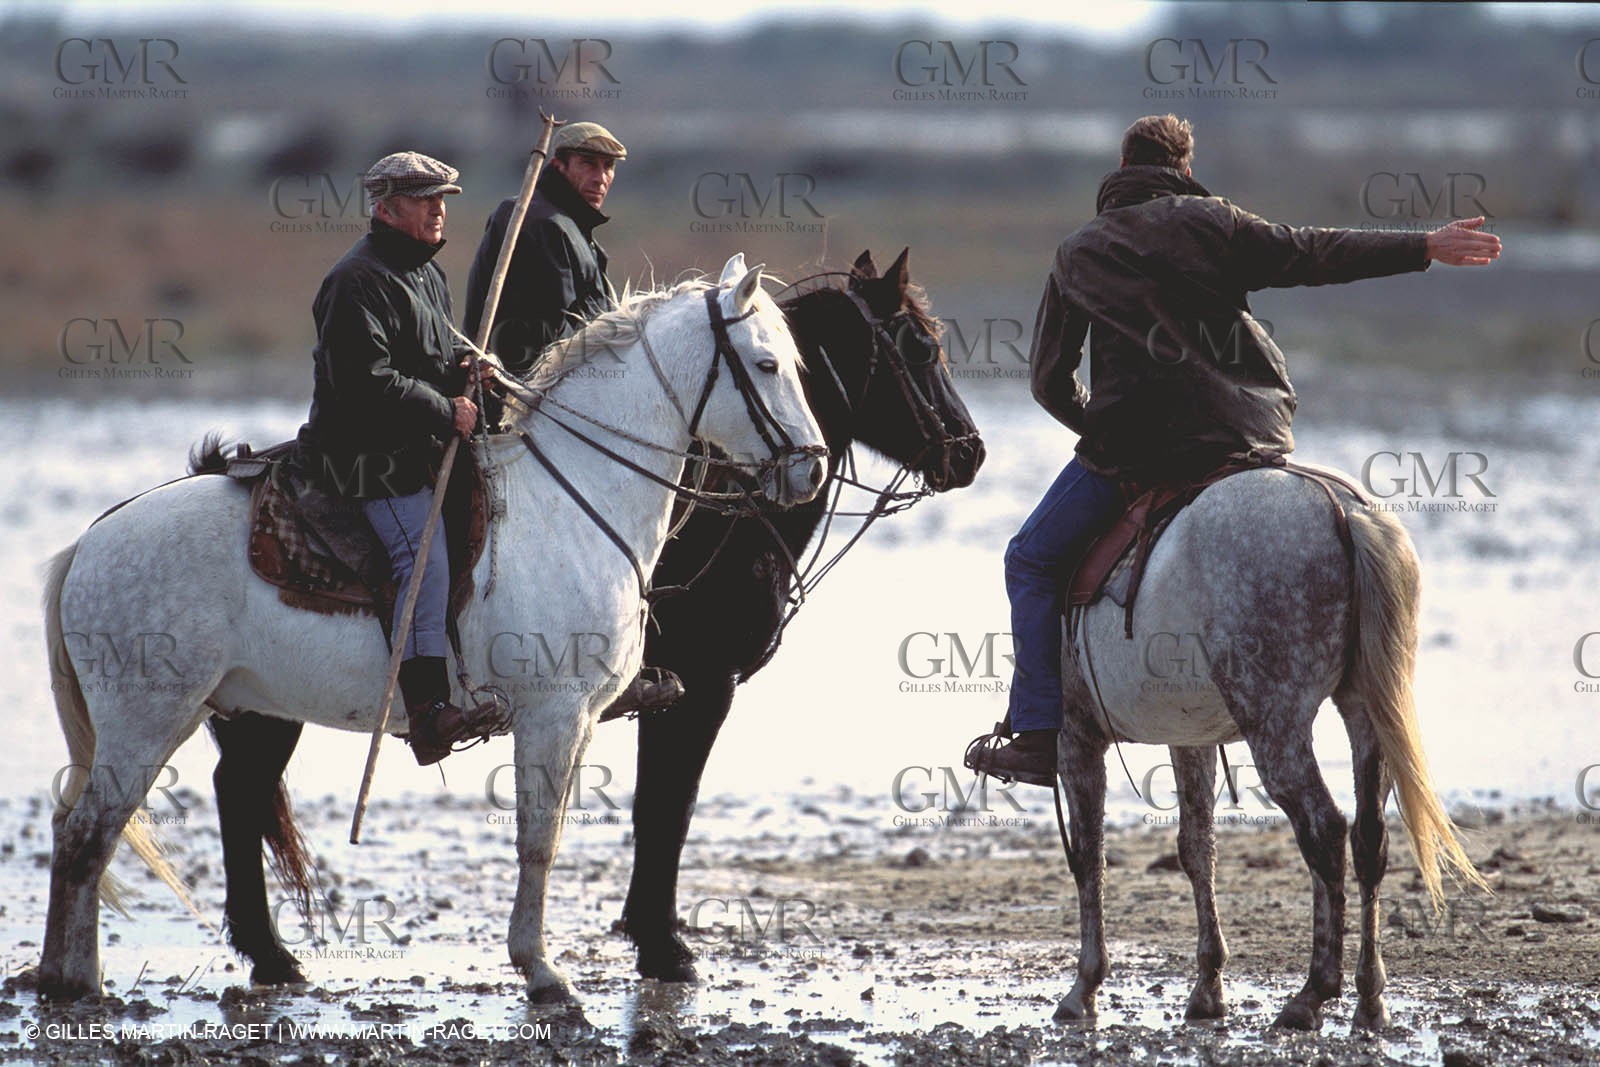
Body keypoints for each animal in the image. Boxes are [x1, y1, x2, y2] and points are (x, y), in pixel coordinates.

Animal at [37, 255, 829, 1004]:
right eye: (766, 363)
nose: (812, 471)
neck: (576, 497)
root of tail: (88, 544)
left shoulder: (586, 717)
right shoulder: (556, 712)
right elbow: (540, 840)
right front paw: (542, 969)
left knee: (111, 822)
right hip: (148, 719)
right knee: (88, 835)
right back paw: (81, 983)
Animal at [1052, 466, 1487, 1031]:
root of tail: (1345, 509)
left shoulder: (1075, 736)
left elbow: (1089, 855)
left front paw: (1085, 985)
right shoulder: (1189, 738)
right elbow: (1197, 849)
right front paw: (1208, 986)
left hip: (1276, 724)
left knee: (1324, 829)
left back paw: (1313, 993)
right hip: (1366, 712)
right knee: (1369, 838)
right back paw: (1369, 998)